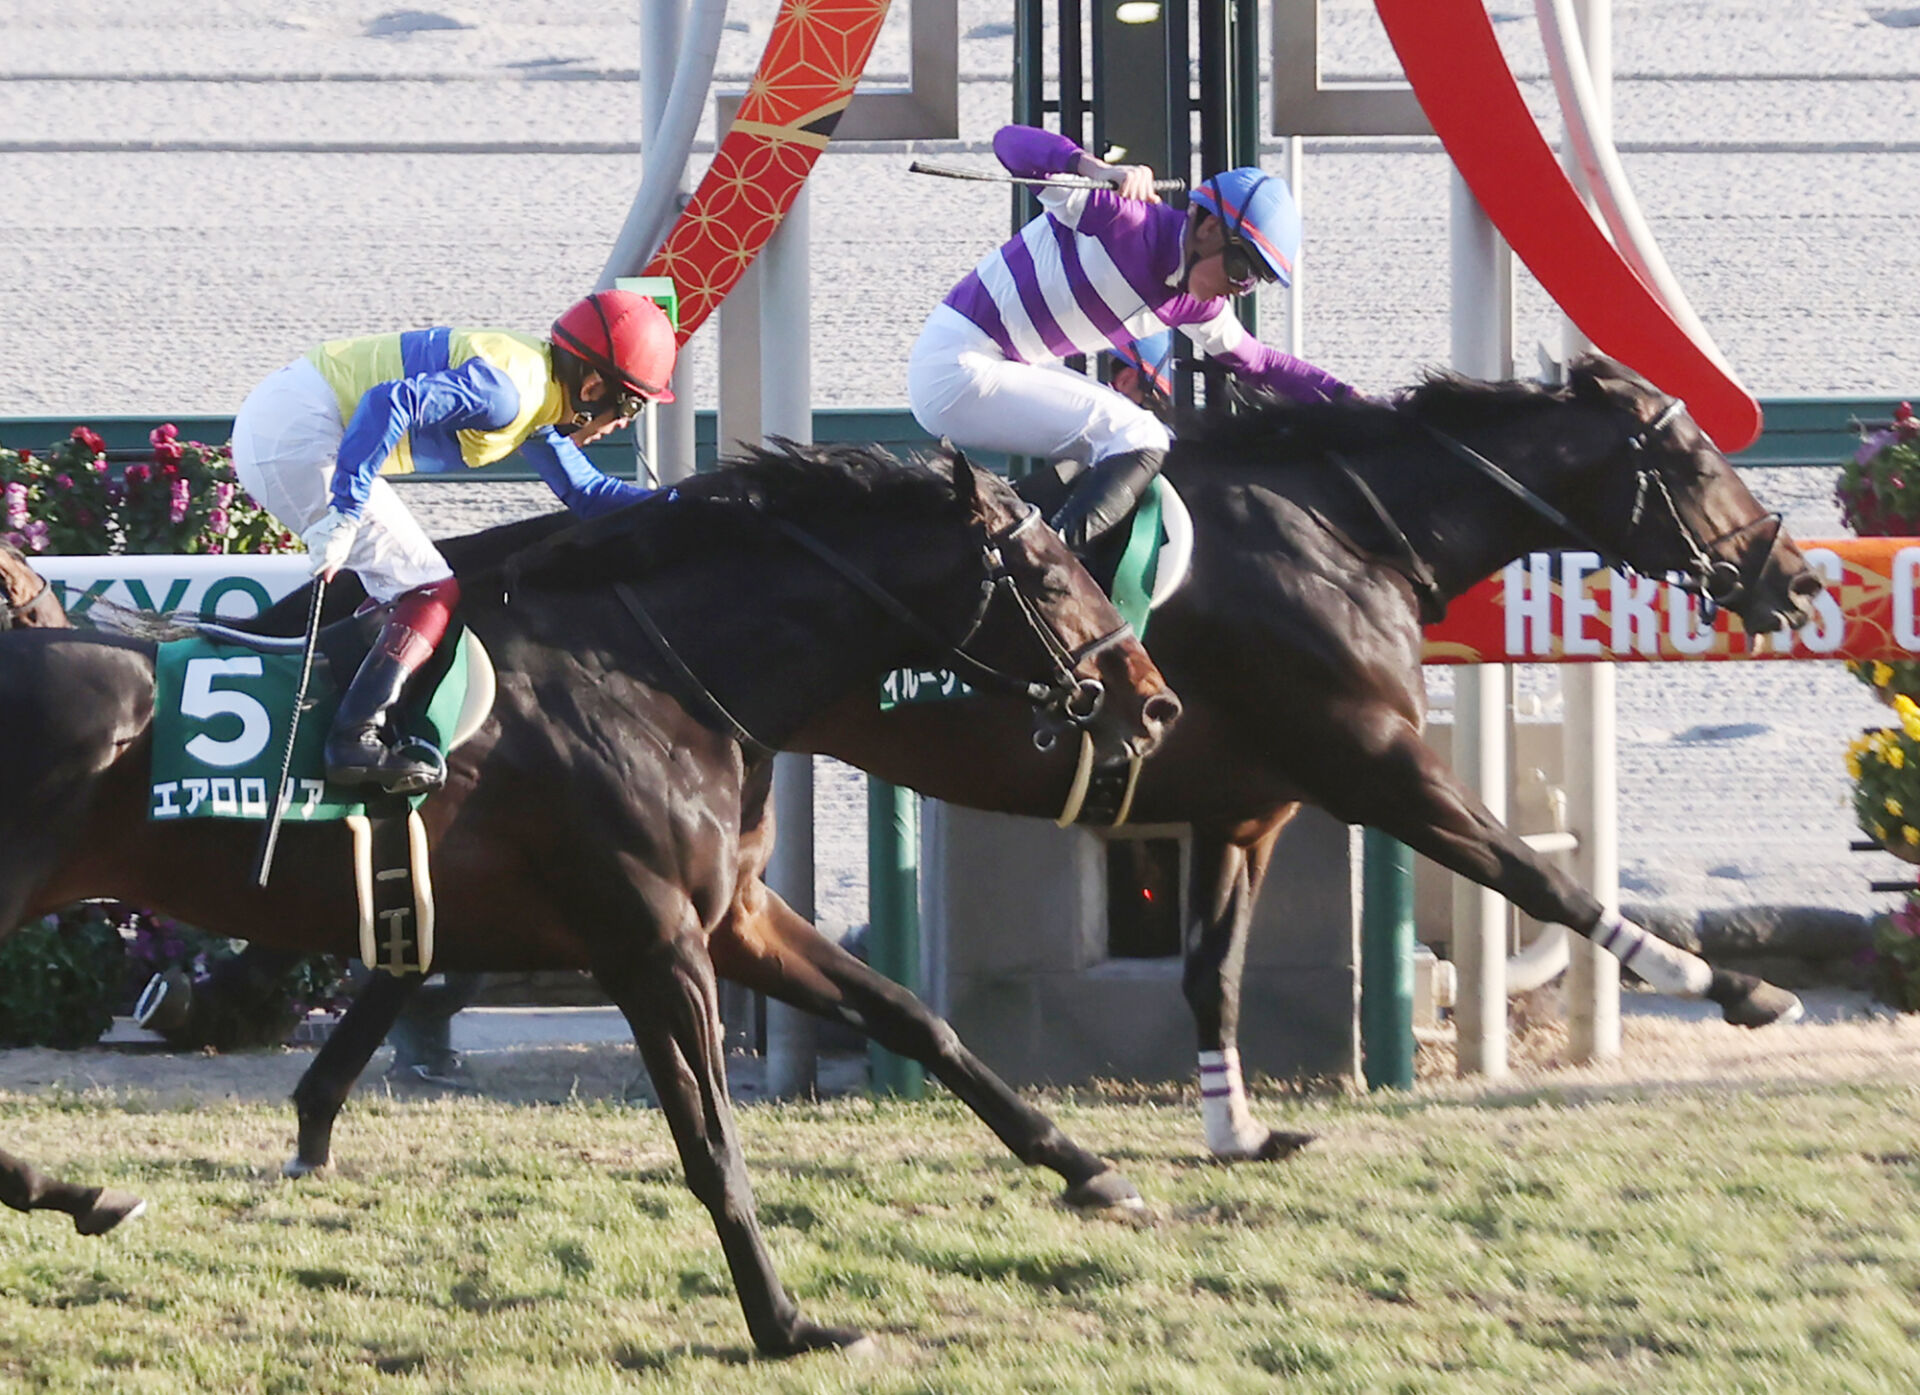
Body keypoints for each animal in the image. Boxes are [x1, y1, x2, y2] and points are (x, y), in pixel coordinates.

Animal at [0, 448, 1181, 1357]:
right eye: (1048, 570)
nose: (1154, 704)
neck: (658, 679)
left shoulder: (733, 918)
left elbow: (914, 1017)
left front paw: (1090, 1170)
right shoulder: (653, 946)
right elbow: (712, 1145)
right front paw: (786, 1322)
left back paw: (86, 1187)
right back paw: (84, 1184)